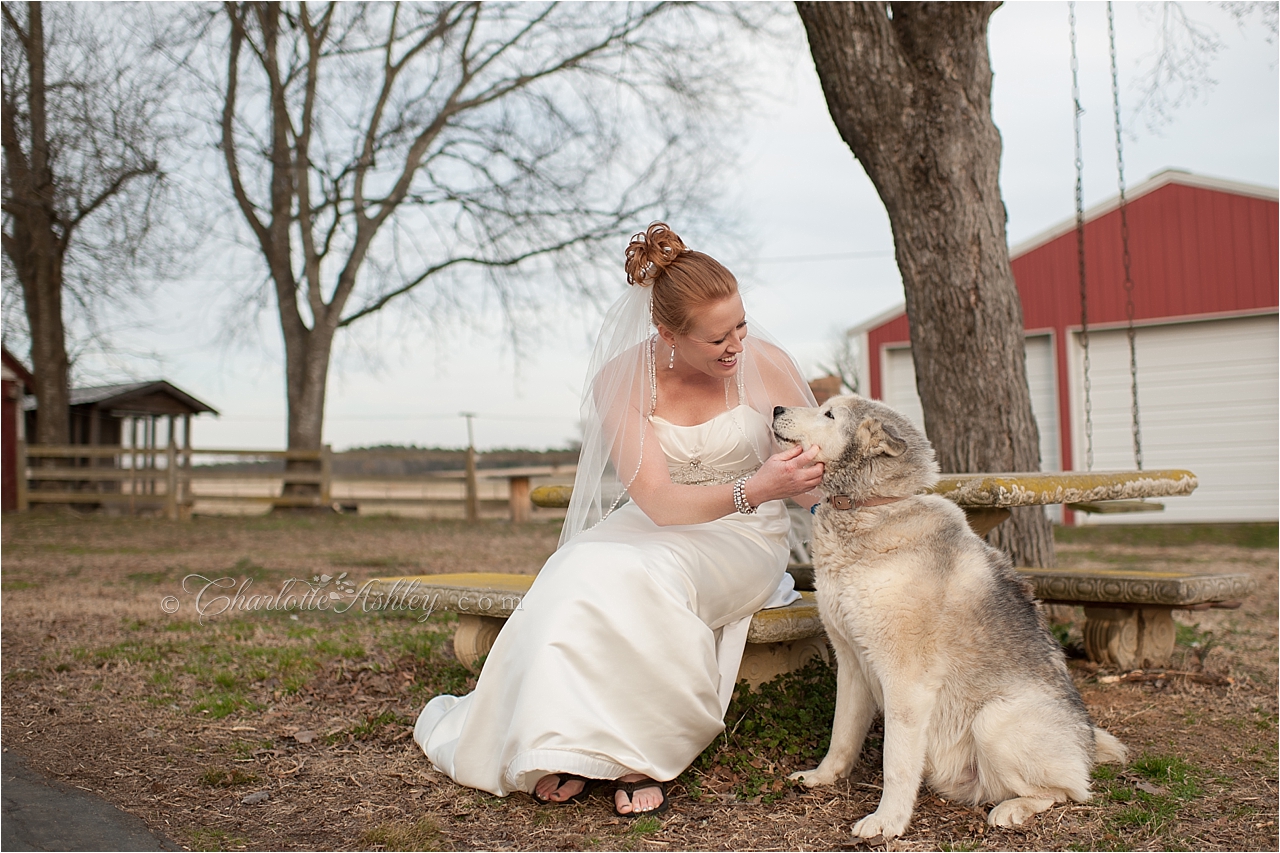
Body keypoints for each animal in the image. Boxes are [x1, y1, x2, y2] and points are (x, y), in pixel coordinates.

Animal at [768, 394, 1121, 835]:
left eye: (829, 414)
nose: (777, 408)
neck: (872, 508)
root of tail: (1086, 742)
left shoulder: (906, 683)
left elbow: (896, 763)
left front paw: (887, 821)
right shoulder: (850, 664)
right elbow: (841, 735)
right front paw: (822, 777)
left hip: (993, 721)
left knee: (1067, 792)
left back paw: (1012, 810)